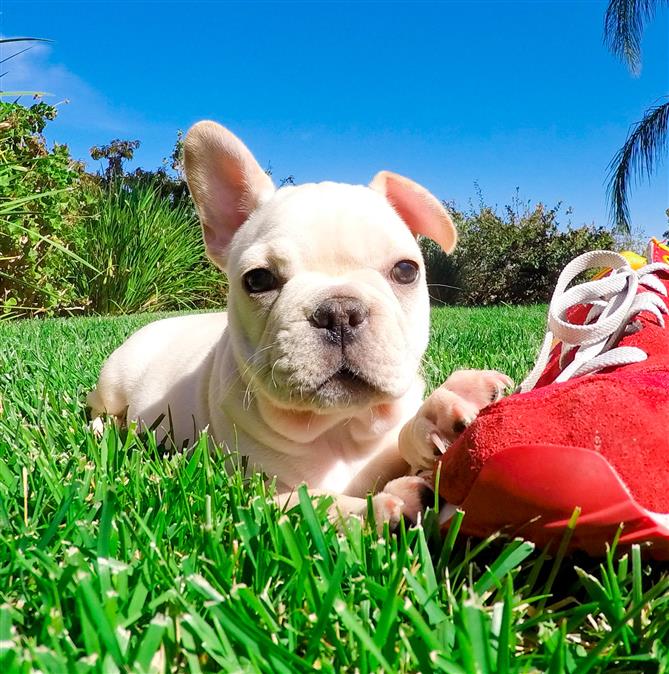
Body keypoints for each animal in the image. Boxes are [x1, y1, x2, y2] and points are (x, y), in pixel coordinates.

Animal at [87, 122, 506, 524]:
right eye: (258, 279)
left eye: (406, 270)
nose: (339, 312)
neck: (340, 426)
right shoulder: (252, 495)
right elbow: (313, 500)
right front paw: (384, 505)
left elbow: (400, 438)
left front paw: (439, 413)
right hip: (113, 383)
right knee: (100, 411)